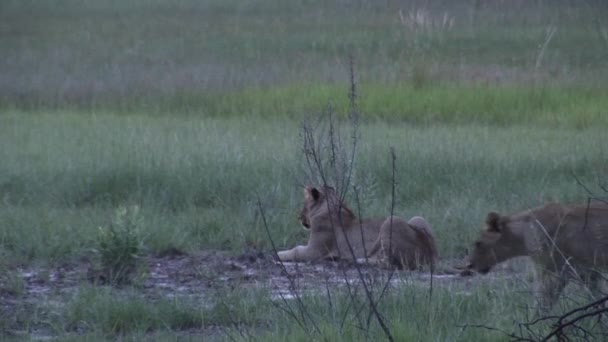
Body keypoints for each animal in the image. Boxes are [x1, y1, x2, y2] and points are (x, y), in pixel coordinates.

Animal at [276, 186, 436, 272]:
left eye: (305, 204)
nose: (299, 217)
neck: (330, 205)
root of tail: (429, 255)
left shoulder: (314, 252)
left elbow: (296, 250)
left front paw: (278, 254)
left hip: (391, 220)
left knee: (389, 263)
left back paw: (357, 260)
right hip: (417, 218)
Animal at [466, 202, 608, 314]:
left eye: (478, 243)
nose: (469, 265)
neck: (523, 234)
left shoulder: (555, 273)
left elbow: (542, 305)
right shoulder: (587, 272)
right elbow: (596, 301)